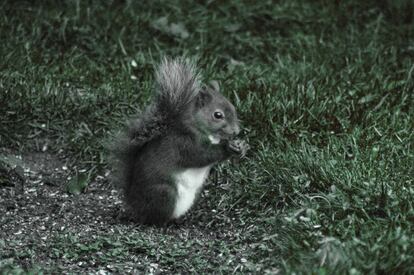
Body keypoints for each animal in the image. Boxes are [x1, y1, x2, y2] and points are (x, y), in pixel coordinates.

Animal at [112, 56, 249, 226]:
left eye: (233, 108)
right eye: (218, 115)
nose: (236, 131)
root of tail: (133, 204)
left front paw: (241, 146)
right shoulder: (183, 143)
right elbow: (201, 155)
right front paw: (228, 148)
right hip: (164, 193)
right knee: (153, 218)